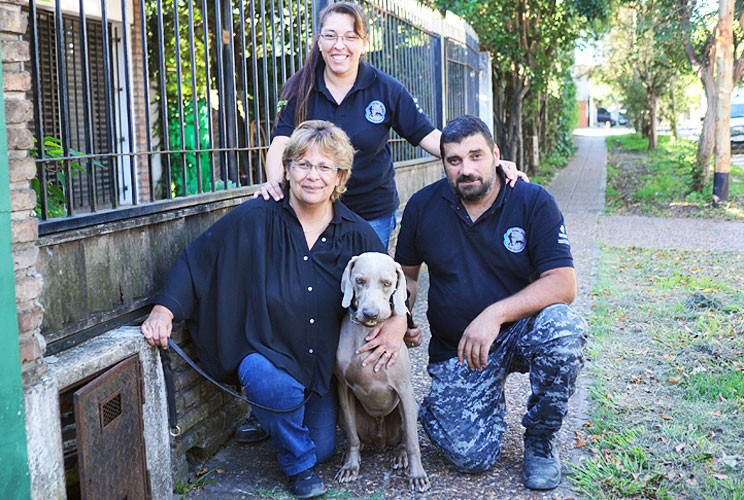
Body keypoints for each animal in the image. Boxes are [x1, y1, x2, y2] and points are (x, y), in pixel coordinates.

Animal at [336, 254, 434, 492]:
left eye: (387, 283)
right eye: (359, 280)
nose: (370, 313)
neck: (368, 331)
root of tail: (380, 440)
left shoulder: (404, 390)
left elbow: (413, 442)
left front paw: (417, 476)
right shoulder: (343, 387)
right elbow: (352, 437)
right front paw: (350, 467)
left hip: (411, 409)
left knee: (404, 440)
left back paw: (400, 456)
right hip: (343, 415)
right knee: (358, 437)